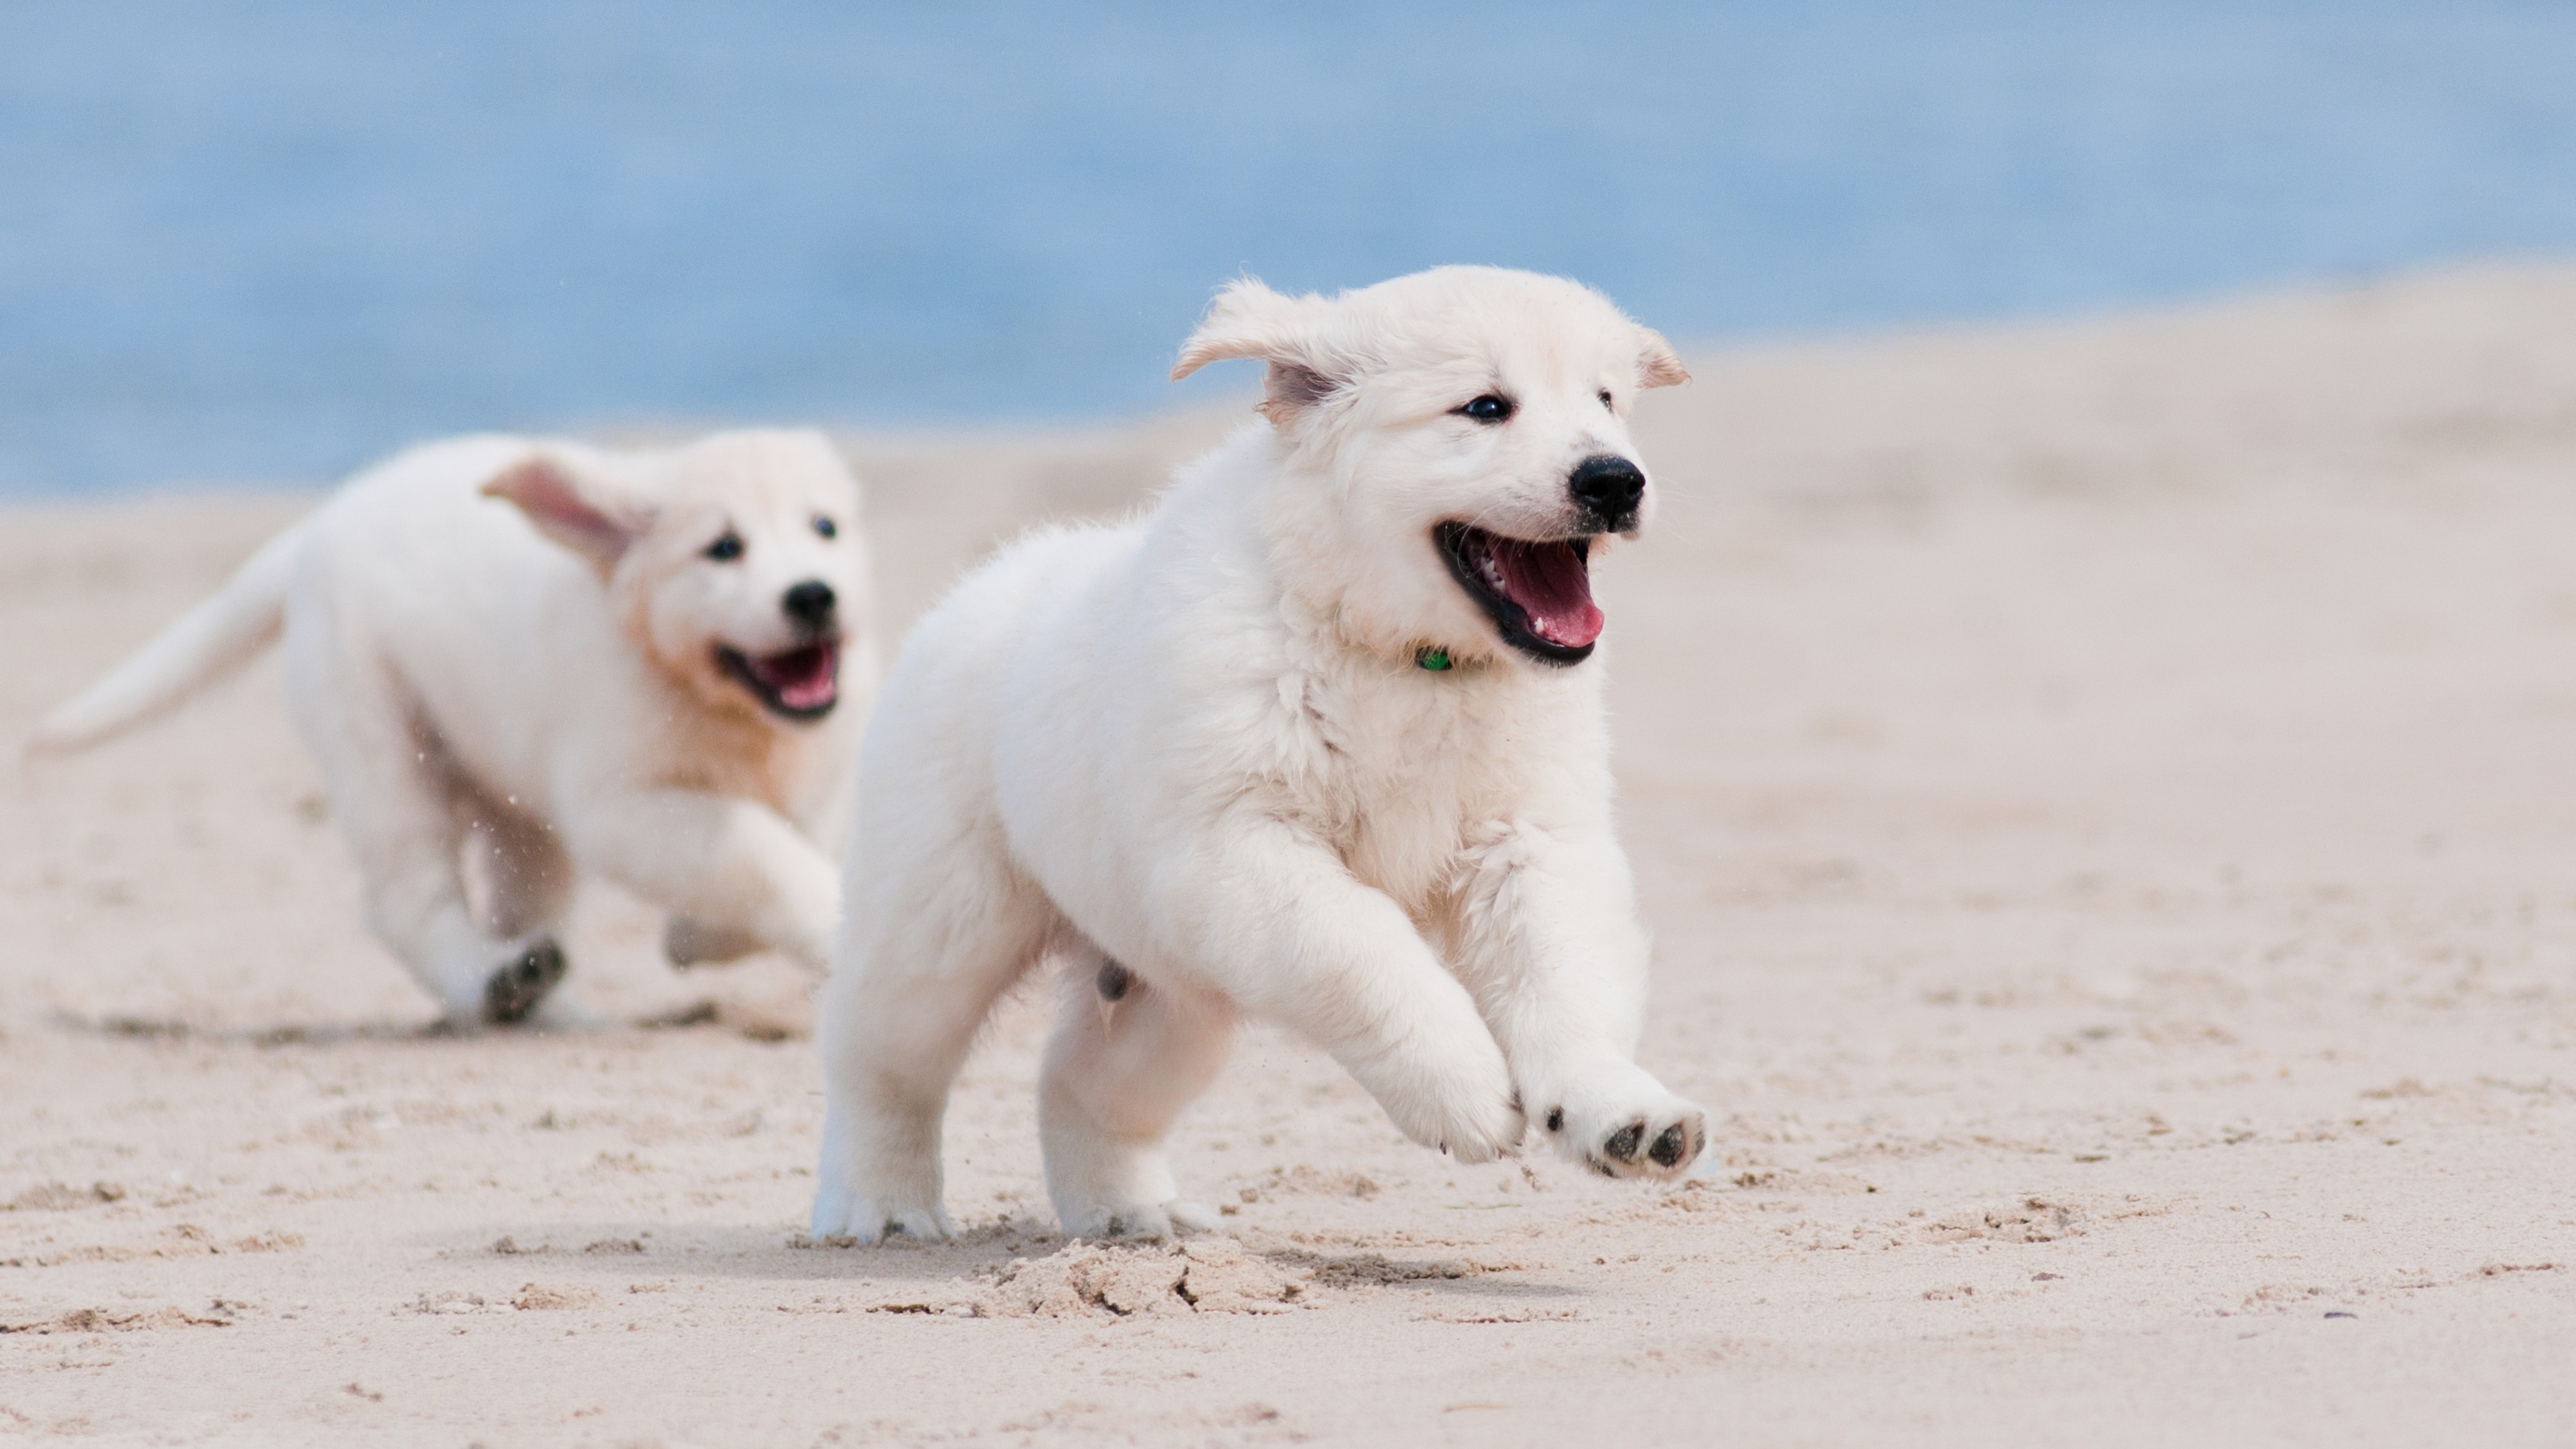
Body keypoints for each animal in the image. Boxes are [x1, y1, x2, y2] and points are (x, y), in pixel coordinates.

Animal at [30, 428, 875, 1026]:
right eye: (723, 549)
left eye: (825, 528)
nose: (813, 596)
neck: (725, 707)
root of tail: (322, 523)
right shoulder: (623, 804)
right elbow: (765, 854)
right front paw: (805, 927)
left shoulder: (832, 772)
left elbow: (799, 842)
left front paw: (695, 938)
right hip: (378, 742)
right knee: (408, 898)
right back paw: (489, 983)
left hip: (519, 810)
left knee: (521, 906)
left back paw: (543, 1000)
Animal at [819, 265, 1710, 1237]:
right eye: (1484, 407)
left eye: (1607, 402)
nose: (1616, 481)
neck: (1405, 660)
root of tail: (978, 587)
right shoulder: (1237, 844)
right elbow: (1363, 948)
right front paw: (1464, 1089)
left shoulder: (1531, 839)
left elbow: (1563, 971)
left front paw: (1619, 1110)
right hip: (943, 921)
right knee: (881, 1061)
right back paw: (880, 1206)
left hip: (1173, 990)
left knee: (1082, 1084)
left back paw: (1132, 1217)